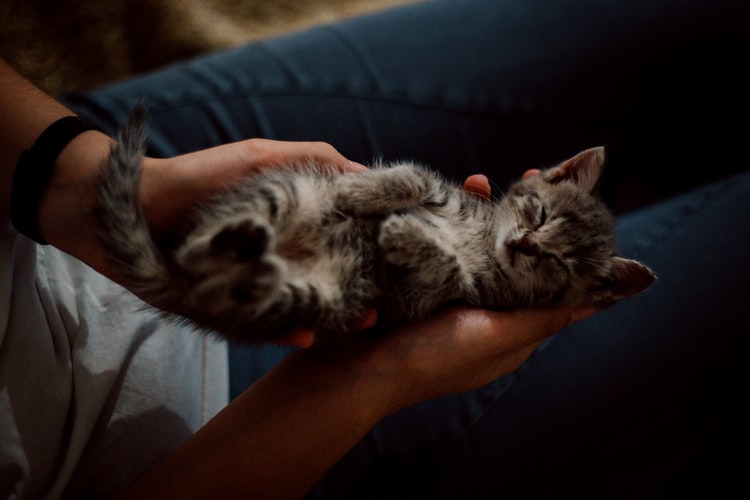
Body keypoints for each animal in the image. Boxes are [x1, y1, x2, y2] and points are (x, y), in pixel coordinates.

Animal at [97, 106, 656, 344]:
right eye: (538, 213)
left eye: (560, 263)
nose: (523, 245)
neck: (481, 239)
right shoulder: (439, 192)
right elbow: (411, 177)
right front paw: (358, 195)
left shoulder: (440, 296)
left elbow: (447, 267)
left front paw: (402, 234)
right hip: (288, 192)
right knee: (197, 249)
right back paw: (246, 239)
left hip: (320, 298)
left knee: (215, 278)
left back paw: (251, 258)